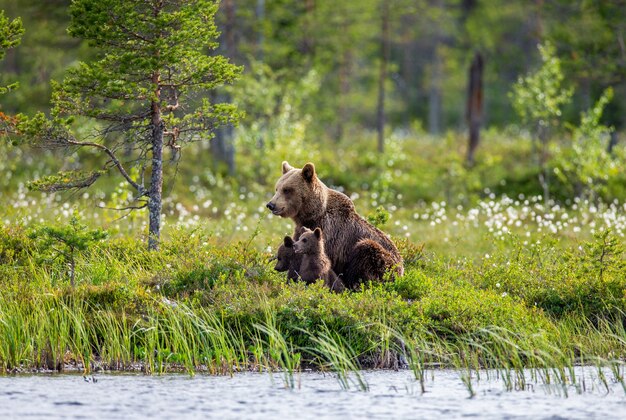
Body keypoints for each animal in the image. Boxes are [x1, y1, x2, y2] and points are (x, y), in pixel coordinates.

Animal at [266, 161, 402, 288]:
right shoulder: (303, 228)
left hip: (383, 263)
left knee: (366, 251)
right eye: (277, 188)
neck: (312, 214)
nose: (270, 204)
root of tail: (401, 271)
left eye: (287, 190)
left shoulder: (328, 232)